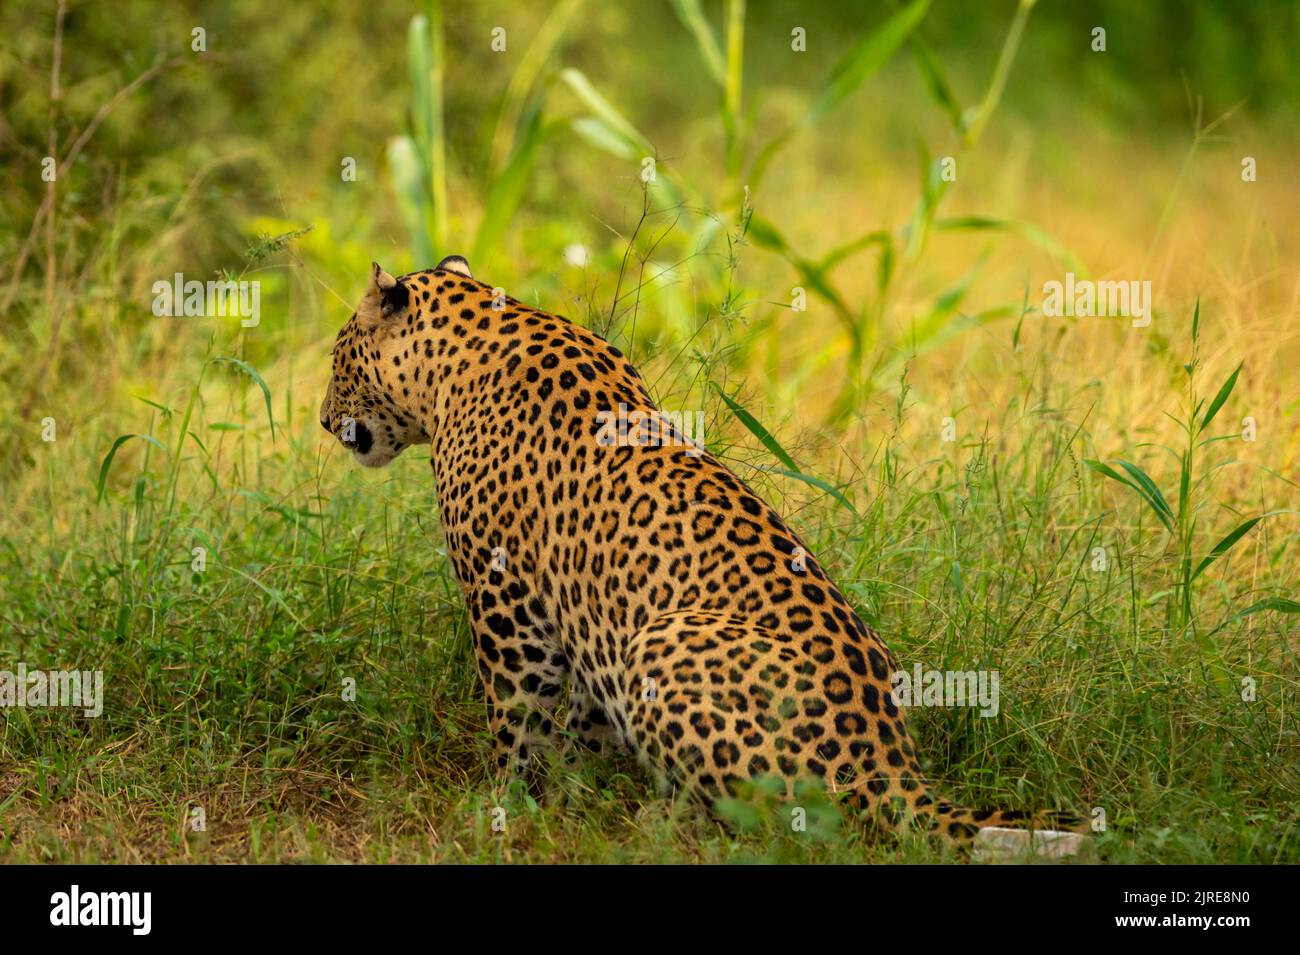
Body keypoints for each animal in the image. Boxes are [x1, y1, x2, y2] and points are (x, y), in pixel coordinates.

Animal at [319, 257, 1081, 847]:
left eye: (336, 358)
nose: (325, 421)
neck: (465, 343)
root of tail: (889, 765)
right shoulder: (591, 620)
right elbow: (583, 722)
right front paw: (573, 793)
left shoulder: (506, 598)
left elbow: (517, 714)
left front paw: (505, 804)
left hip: (665, 639)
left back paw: (664, 824)